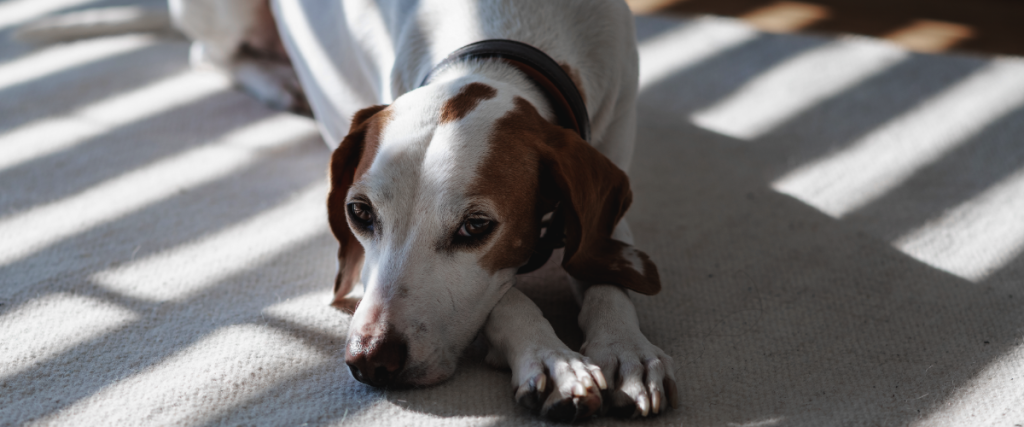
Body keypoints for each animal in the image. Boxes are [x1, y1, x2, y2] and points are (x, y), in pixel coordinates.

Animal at [165, 0, 679, 419]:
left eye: (475, 226)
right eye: (360, 214)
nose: (370, 361)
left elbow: (605, 269)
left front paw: (626, 349)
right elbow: (507, 298)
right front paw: (553, 357)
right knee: (207, 54)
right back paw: (281, 80)